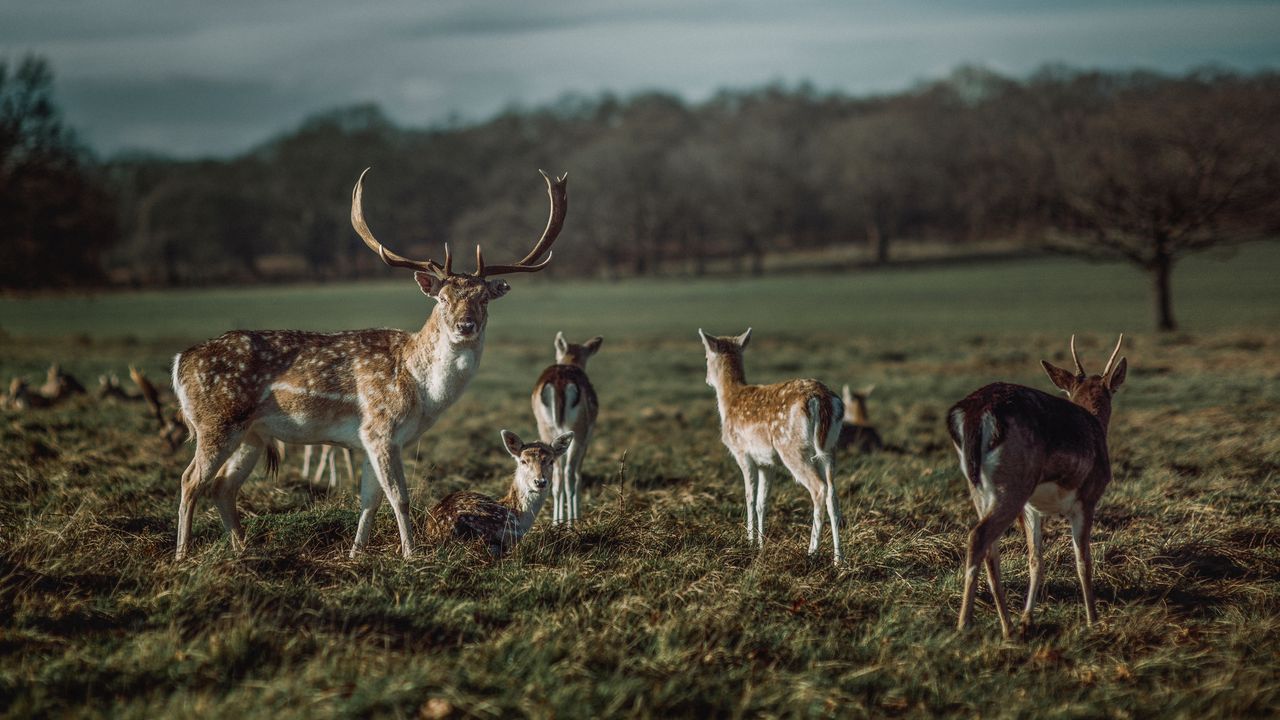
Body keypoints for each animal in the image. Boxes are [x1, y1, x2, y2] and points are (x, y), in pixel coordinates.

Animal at [527, 330, 601, 520]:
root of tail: (560, 383)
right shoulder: (586, 438)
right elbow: (578, 473)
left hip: (546, 429)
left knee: (557, 474)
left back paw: (556, 521)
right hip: (578, 431)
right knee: (568, 473)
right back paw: (571, 520)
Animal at [696, 327, 844, 563]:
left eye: (706, 357)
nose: (707, 379)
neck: (729, 400)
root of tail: (822, 400)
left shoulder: (743, 453)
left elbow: (749, 497)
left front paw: (749, 541)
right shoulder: (767, 463)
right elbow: (761, 502)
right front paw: (761, 544)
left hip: (792, 448)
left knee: (819, 489)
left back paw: (811, 552)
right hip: (830, 448)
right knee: (832, 494)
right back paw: (839, 559)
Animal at [947, 333, 1126, 635]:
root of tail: (973, 414)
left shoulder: (1033, 509)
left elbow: (1036, 559)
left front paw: (1027, 618)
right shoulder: (1087, 498)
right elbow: (1083, 560)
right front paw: (1093, 620)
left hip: (980, 490)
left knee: (990, 549)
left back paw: (1008, 626)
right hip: (1013, 486)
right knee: (978, 536)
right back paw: (964, 625)